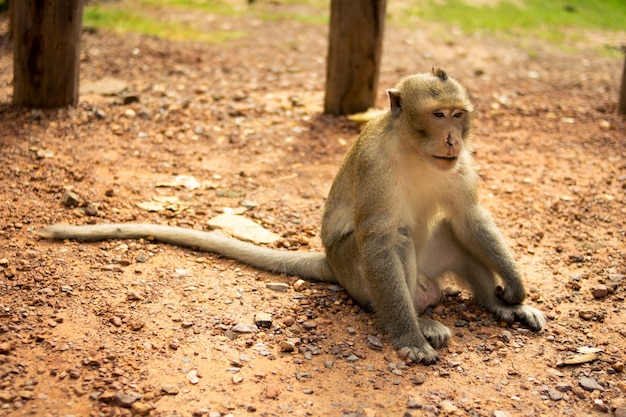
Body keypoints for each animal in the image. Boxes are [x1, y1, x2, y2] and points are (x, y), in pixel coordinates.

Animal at [37, 67, 540, 360]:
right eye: (438, 115)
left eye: (459, 114)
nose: (452, 138)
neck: (415, 151)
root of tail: (330, 264)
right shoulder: (376, 167)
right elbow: (380, 240)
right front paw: (410, 338)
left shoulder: (460, 166)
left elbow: (469, 215)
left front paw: (512, 290)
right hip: (355, 273)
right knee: (391, 245)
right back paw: (424, 320)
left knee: (450, 230)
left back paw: (499, 306)